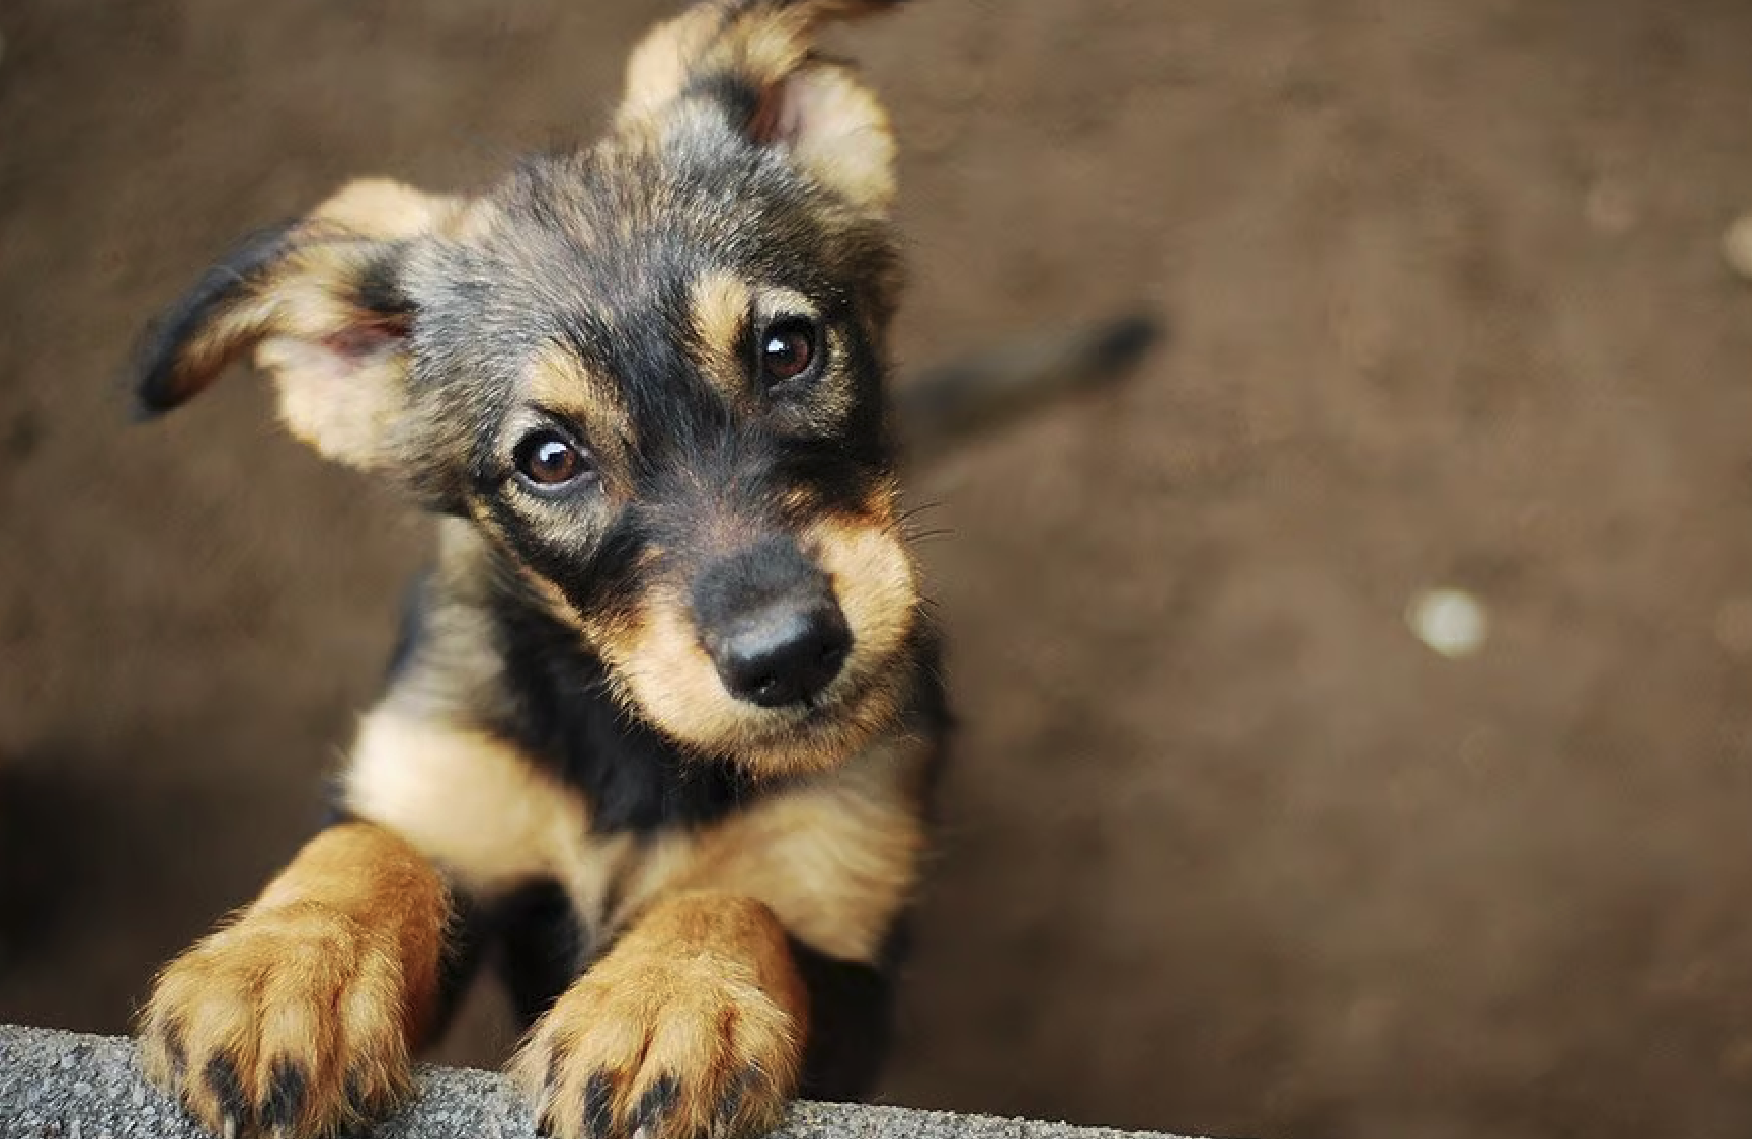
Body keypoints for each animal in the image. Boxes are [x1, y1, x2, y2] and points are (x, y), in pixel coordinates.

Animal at [129, 2, 1156, 1135]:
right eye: (548, 458)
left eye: (788, 348)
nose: (789, 655)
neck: (638, 752)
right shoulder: (445, 782)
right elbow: (369, 846)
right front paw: (283, 966)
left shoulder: (847, 953)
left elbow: (732, 900)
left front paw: (666, 1002)